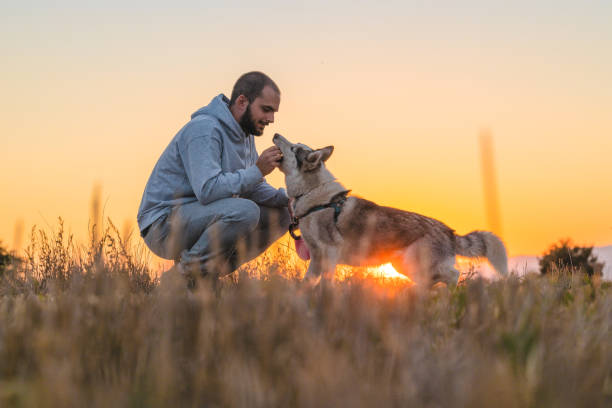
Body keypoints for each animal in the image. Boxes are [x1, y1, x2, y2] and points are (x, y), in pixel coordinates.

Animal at [272, 134, 506, 286]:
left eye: (294, 148)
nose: (275, 134)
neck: (314, 196)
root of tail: (449, 231)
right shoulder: (316, 258)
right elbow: (306, 283)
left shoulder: (329, 255)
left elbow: (325, 285)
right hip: (404, 267)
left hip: (413, 264)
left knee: (453, 274)